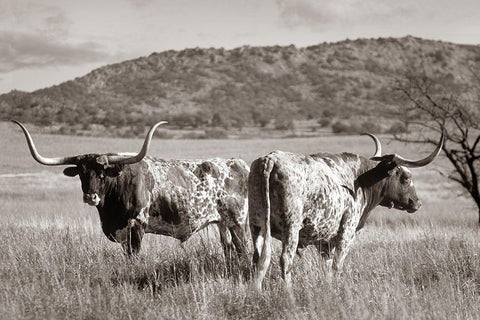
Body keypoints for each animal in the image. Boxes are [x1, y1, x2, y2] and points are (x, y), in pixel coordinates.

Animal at [13, 121, 249, 262]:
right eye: (81, 173)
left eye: (102, 173)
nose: (90, 196)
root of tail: (239, 164)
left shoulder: (136, 226)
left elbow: (133, 258)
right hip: (223, 224)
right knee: (230, 250)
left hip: (238, 222)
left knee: (243, 249)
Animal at [249, 130, 444, 288]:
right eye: (405, 177)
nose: (416, 202)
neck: (360, 179)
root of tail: (270, 159)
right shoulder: (347, 231)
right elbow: (337, 265)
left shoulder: (324, 242)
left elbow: (327, 267)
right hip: (291, 228)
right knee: (285, 260)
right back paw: (289, 294)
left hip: (257, 226)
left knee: (257, 258)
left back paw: (257, 291)